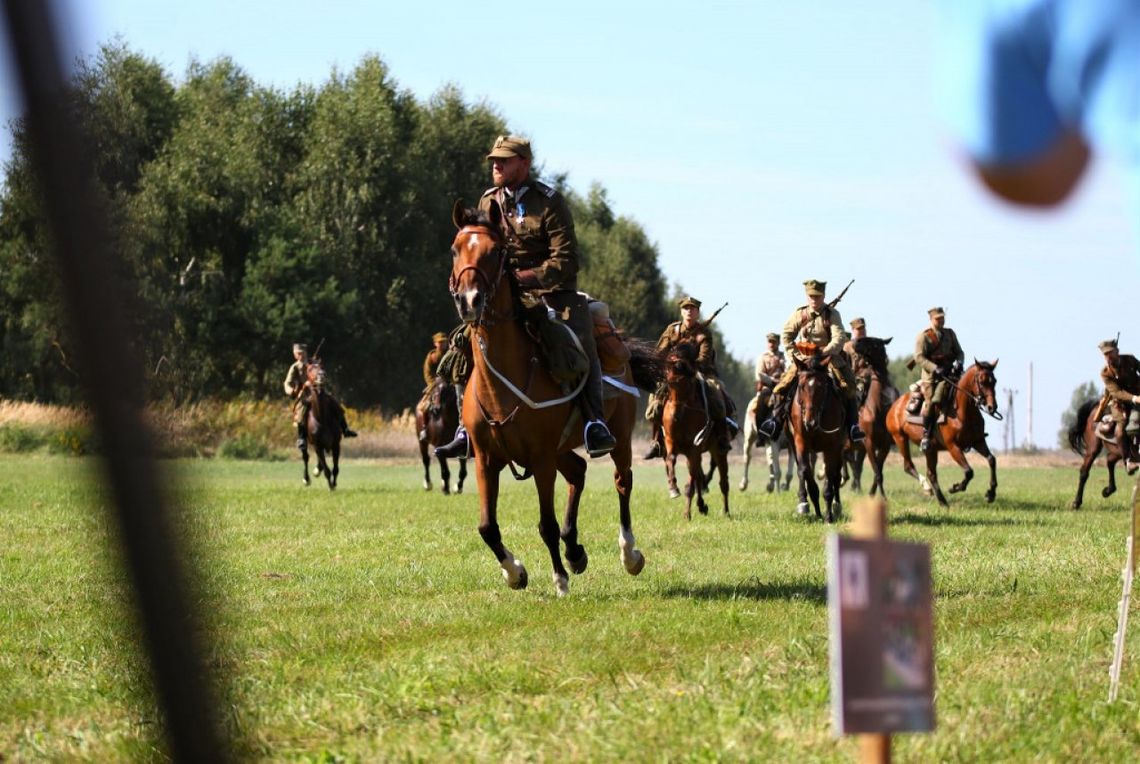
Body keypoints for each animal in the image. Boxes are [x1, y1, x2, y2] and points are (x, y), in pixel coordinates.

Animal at [300, 360, 339, 490]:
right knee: (306, 457)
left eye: (322, 367)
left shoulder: (336, 444)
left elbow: (335, 468)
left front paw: (334, 484)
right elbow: (327, 470)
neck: (321, 419)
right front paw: (331, 486)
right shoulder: (317, 445)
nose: (321, 375)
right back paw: (306, 479)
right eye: (310, 370)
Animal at [444, 200, 661, 597]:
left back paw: (629, 554)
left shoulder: (541, 458)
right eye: (455, 249)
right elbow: (487, 526)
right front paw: (515, 573)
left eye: (496, 251)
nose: (469, 301)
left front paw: (558, 580)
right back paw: (575, 550)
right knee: (578, 472)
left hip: (619, 437)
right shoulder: (486, 459)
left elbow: (545, 523)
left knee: (622, 481)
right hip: (562, 449)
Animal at [661, 344, 729, 524]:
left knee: (723, 482)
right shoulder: (671, 442)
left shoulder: (694, 448)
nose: (676, 415)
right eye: (669, 383)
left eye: (687, 383)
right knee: (698, 476)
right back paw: (701, 505)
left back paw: (726, 512)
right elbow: (671, 459)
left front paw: (687, 514)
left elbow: (691, 482)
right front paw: (673, 488)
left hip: (718, 451)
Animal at [788, 351, 852, 524]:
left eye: (822, 387)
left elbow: (830, 475)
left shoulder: (832, 446)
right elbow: (805, 471)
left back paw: (836, 506)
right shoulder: (801, 442)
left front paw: (828, 516)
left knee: (836, 474)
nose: (810, 422)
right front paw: (815, 509)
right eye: (801, 386)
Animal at [880, 360, 998, 508]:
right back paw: (927, 488)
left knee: (931, 473)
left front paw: (991, 493)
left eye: (994, 381)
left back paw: (942, 501)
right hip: (900, 438)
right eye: (982, 382)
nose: (992, 407)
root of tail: (895, 405)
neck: (962, 412)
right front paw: (955, 487)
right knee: (909, 466)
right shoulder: (953, 447)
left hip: (930, 450)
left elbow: (991, 460)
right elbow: (969, 471)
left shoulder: (978, 441)